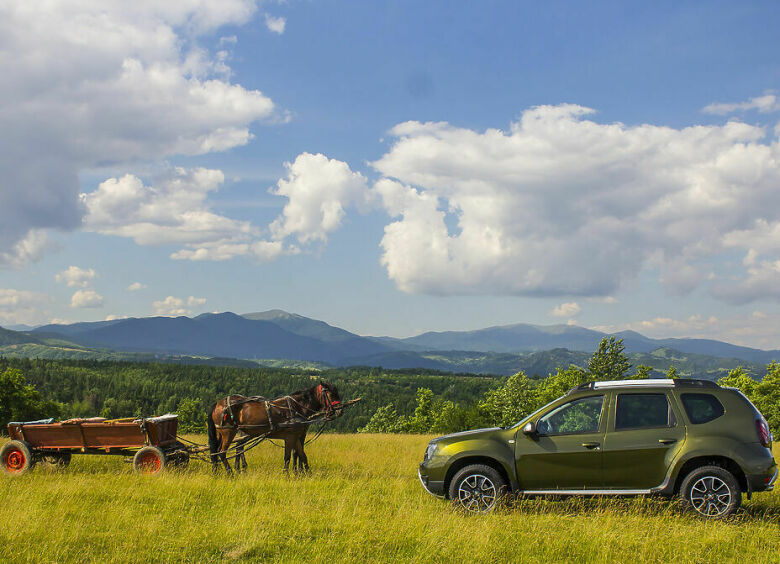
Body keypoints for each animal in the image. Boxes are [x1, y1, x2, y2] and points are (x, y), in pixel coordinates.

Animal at [206, 382, 340, 474]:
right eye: (330, 395)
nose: (339, 411)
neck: (296, 407)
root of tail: (218, 404)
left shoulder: (297, 436)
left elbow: (302, 455)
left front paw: (306, 474)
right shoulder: (290, 436)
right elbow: (288, 456)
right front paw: (287, 474)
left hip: (222, 433)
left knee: (216, 450)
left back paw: (217, 471)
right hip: (228, 432)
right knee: (223, 452)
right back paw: (231, 473)